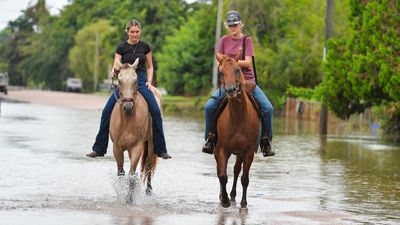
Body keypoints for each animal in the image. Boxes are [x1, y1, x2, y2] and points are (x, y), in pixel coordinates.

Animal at [109, 58, 161, 197]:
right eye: (119, 81)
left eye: (136, 80)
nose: (128, 107)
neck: (127, 120)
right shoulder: (117, 147)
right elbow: (121, 173)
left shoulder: (137, 147)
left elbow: (131, 175)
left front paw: (129, 199)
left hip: (151, 142)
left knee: (148, 164)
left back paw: (149, 190)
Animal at [216, 54, 260, 209]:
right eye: (221, 72)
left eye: (237, 70)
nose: (231, 90)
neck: (238, 116)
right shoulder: (222, 149)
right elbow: (222, 175)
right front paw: (224, 200)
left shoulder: (248, 151)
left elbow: (244, 178)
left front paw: (243, 203)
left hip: (240, 153)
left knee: (236, 171)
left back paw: (234, 195)